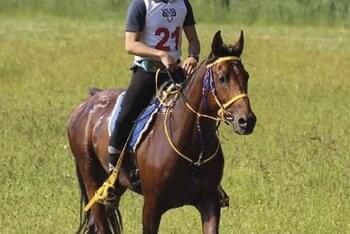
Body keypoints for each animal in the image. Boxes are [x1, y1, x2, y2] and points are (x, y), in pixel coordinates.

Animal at [67, 31, 256, 234]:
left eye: (246, 76)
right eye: (222, 78)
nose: (246, 121)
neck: (192, 146)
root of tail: (87, 103)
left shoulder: (209, 202)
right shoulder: (152, 207)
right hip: (92, 181)